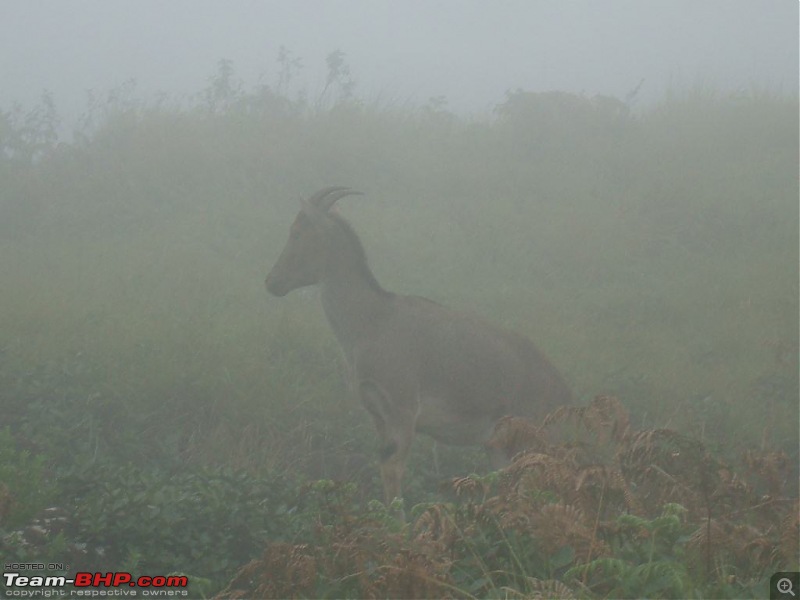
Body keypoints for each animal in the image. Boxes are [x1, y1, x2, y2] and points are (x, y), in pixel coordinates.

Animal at [266, 188, 572, 510]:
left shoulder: (403, 410)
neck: (372, 321)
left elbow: (393, 469)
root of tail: (565, 393)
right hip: (500, 448)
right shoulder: (377, 414)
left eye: (297, 232)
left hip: (537, 440)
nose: (272, 281)